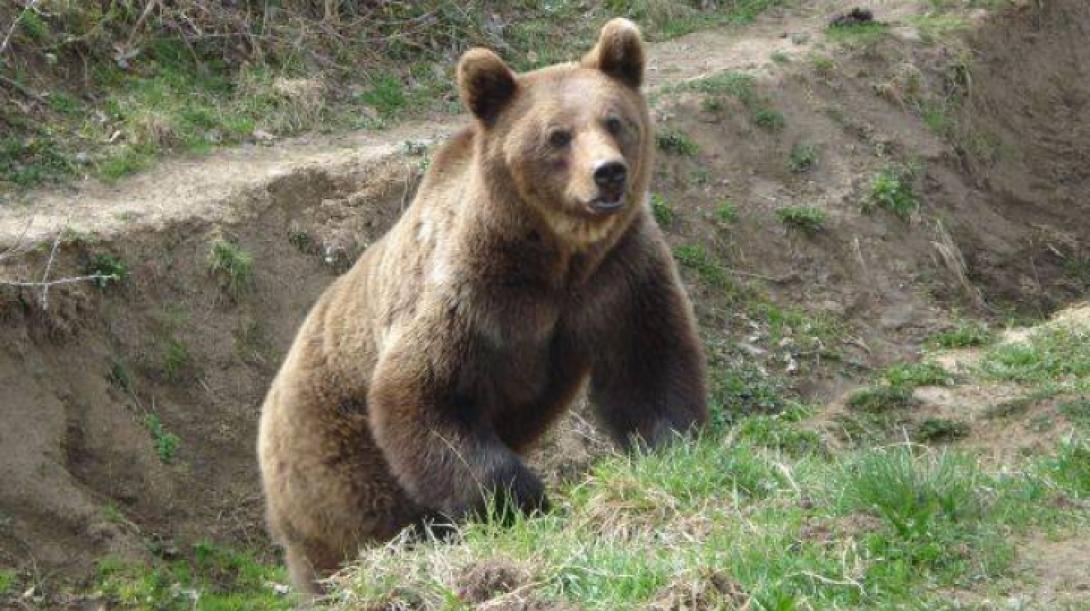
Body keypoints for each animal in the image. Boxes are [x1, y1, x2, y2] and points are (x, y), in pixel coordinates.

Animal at [255, 17, 706, 592]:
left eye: (615, 120)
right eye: (557, 135)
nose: (608, 173)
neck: (555, 255)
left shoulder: (616, 275)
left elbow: (647, 361)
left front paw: (671, 445)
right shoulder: (473, 294)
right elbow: (425, 394)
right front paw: (526, 501)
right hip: (334, 466)